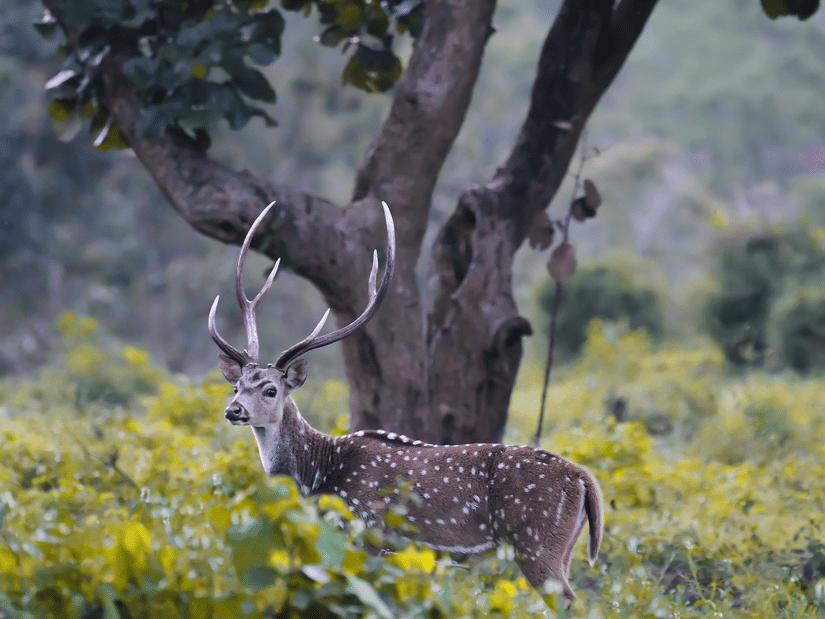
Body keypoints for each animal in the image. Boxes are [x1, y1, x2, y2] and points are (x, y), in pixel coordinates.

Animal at [208, 201, 604, 600]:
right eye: (237, 386)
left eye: (271, 389)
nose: (233, 411)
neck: (317, 478)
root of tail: (584, 479)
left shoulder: (367, 533)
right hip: (562, 549)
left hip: (535, 542)